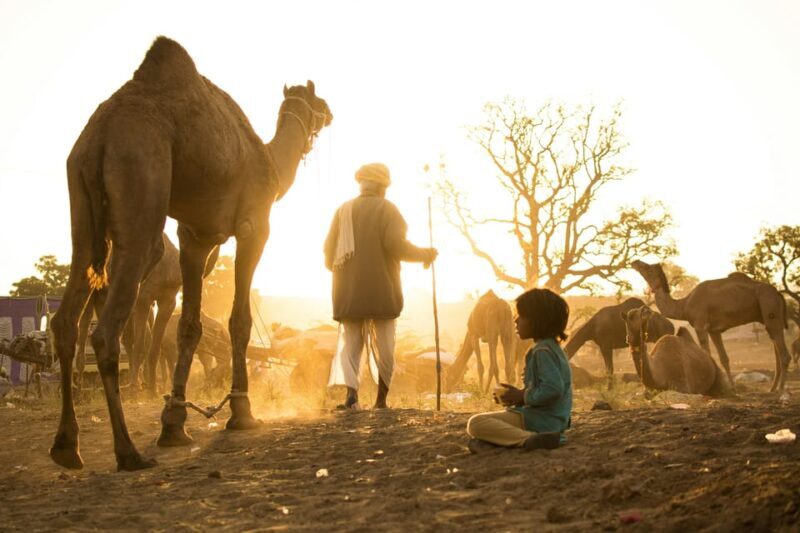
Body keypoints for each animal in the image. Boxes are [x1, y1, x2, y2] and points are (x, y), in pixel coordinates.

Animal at [49, 36, 332, 471]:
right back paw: (128, 452)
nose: (330, 113)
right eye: (317, 100)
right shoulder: (253, 226)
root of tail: (100, 137)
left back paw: (67, 447)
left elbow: (189, 327)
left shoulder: (196, 238)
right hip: (141, 176)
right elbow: (238, 321)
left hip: (80, 201)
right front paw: (241, 413)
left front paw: (175, 423)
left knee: (67, 316)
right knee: (109, 329)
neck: (269, 161)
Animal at [632, 260, 790, 393]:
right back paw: (772, 388)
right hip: (766, 316)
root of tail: (778, 293)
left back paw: (781, 390)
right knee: (776, 346)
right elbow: (724, 358)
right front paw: (732, 387)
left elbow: (706, 352)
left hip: (769, 306)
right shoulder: (714, 330)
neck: (684, 305)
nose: (636, 262)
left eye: (648, 268)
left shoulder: (700, 326)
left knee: (784, 354)